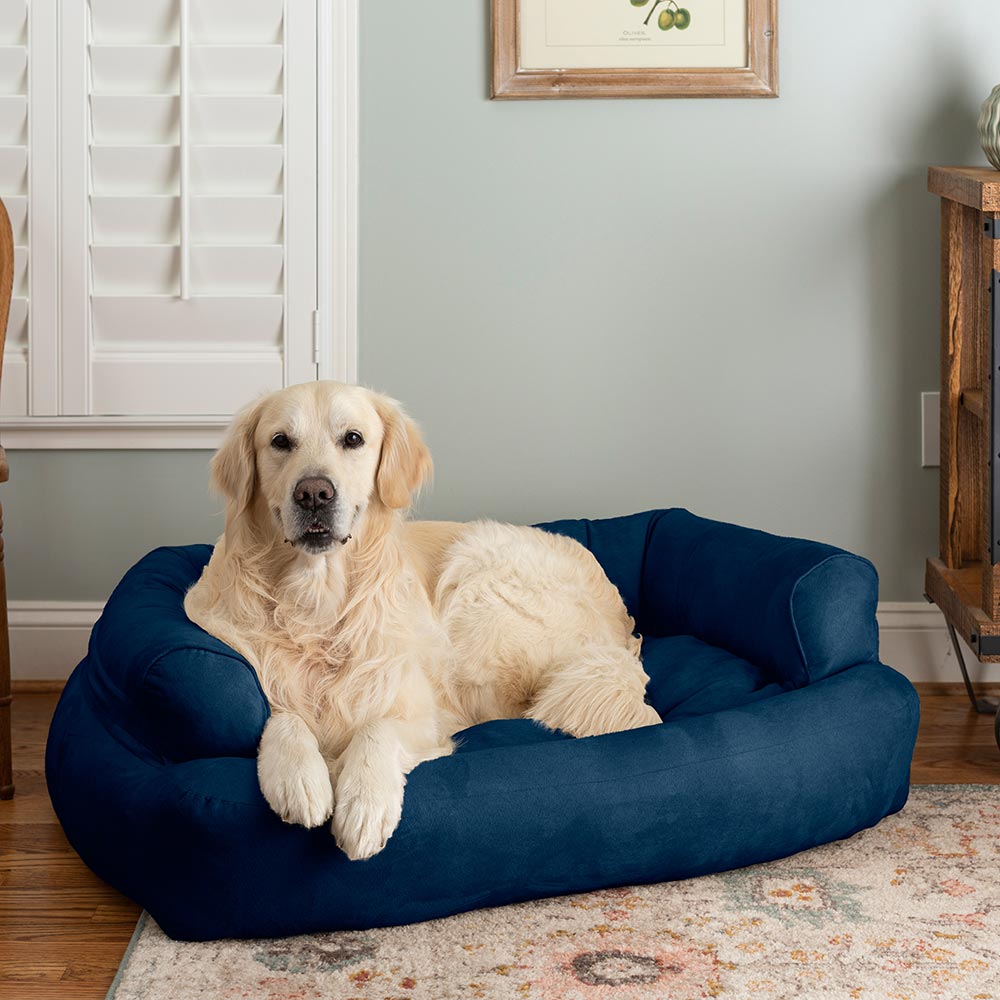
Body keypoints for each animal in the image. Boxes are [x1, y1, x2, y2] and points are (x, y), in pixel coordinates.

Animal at [184, 382, 660, 860]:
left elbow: (376, 728)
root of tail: (620, 633)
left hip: (476, 576)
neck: (317, 601)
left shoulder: (423, 713)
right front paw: (299, 776)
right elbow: (282, 717)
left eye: (353, 439)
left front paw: (364, 801)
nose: (314, 493)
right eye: (280, 441)